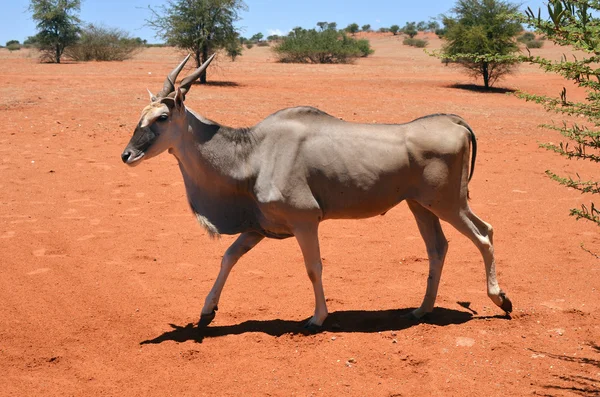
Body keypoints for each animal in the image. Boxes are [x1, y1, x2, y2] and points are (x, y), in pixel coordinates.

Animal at [120, 53, 510, 332]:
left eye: (161, 118)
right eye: (142, 114)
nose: (127, 155)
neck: (253, 152)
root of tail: (454, 121)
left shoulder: (305, 222)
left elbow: (313, 267)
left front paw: (317, 318)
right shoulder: (259, 228)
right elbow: (228, 257)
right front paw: (206, 312)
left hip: (447, 204)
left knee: (483, 235)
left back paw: (500, 299)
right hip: (422, 206)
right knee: (440, 247)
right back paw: (421, 310)